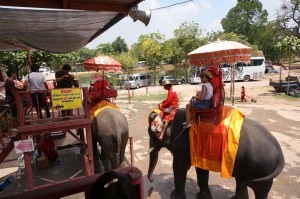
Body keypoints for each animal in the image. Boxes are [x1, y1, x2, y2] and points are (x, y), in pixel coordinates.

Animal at [149, 109, 284, 199]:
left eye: (152, 134)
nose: (151, 180)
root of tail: (280, 152)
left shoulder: (183, 146)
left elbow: (180, 167)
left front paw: (174, 196)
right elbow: (201, 169)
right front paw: (203, 197)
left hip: (263, 168)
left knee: (260, 190)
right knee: (242, 182)